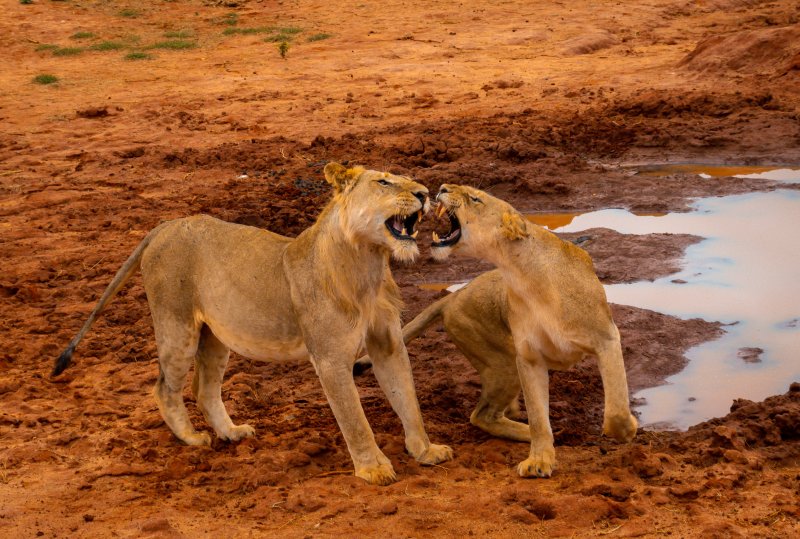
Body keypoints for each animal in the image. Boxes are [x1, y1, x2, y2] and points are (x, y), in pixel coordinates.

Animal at [53, 162, 453, 485]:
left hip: (214, 337)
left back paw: (231, 432)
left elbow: (407, 399)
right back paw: (193, 439)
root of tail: (164, 226)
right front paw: (374, 469)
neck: (369, 262)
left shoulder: (388, 343)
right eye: (384, 182)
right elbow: (354, 419)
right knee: (165, 387)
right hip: (176, 325)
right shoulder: (329, 358)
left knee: (204, 389)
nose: (424, 193)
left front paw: (426, 450)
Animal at [358, 184, 637, 478]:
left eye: (476, 198)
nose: (443, 187)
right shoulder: (528, 358)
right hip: (504, 363)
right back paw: (530, 430)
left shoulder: (606, 337)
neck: (525, 276)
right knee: (483, 415)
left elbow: (616, 407)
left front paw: (627, 430)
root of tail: (453, 297)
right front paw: (539, 460)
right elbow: (539, 418)